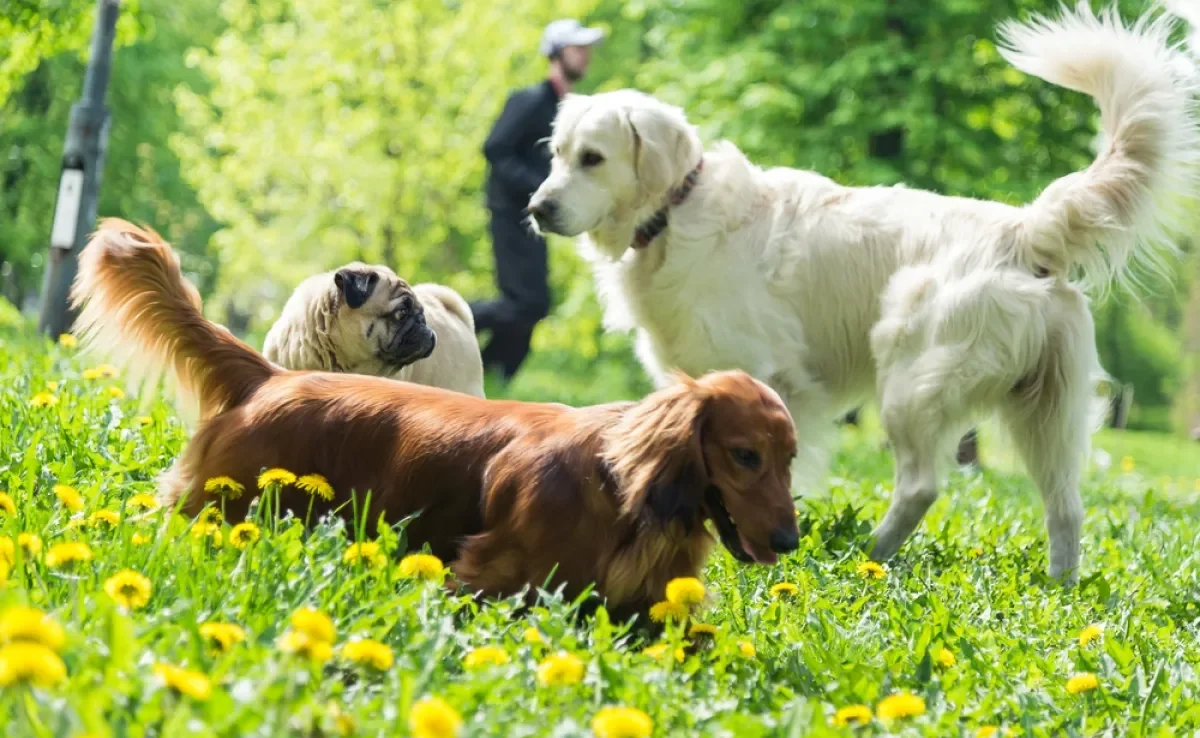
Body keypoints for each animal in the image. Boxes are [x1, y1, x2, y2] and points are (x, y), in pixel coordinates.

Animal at [65, 220, 796, 624]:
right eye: (744, 455)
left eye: (789, 459)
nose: (789, 540)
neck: (618, 486)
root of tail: (271, 376)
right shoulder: (486, 575)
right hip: (218, 510)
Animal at [530, 2, 1200, 585]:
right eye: (557, 154)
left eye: (594, 158)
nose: (537, 208)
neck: (676, 209)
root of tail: (1023, 229)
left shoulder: (762, 374)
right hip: (1047, 413)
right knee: (1065, 506)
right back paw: (1059, 588)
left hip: (910, 377)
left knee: (922, 485)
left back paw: (868, 558)